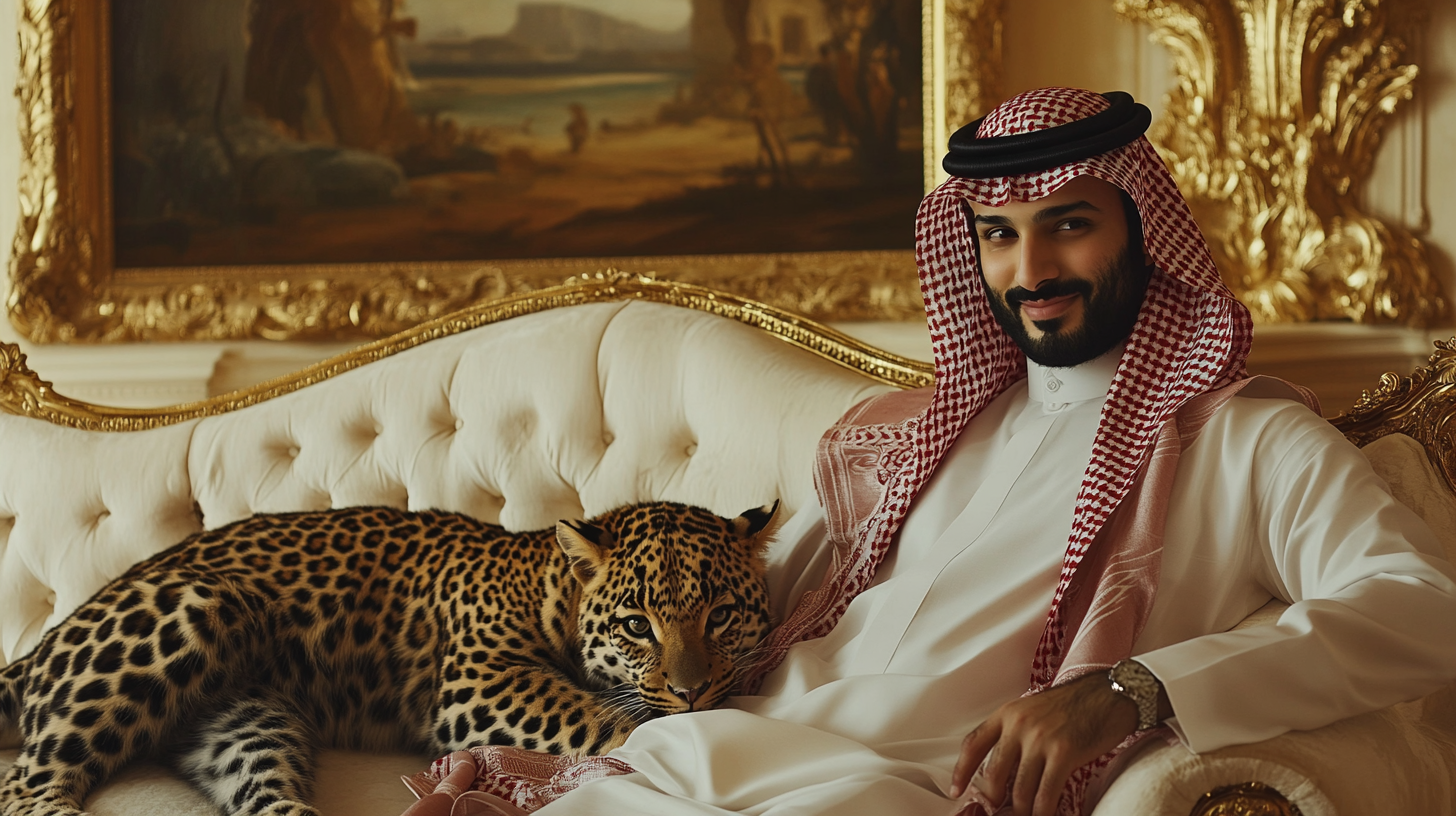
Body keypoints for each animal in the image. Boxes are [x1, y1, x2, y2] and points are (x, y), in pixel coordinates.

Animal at [0, 498, 780, 816]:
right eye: (636, 625)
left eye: (720, 615)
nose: (692, 689)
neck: (548, 584)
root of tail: (44, 642)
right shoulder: (479, 681)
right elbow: (616, 723)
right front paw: (685, 742)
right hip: (193, 606)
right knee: (25, 784)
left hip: (245, 720)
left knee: (264, 795)